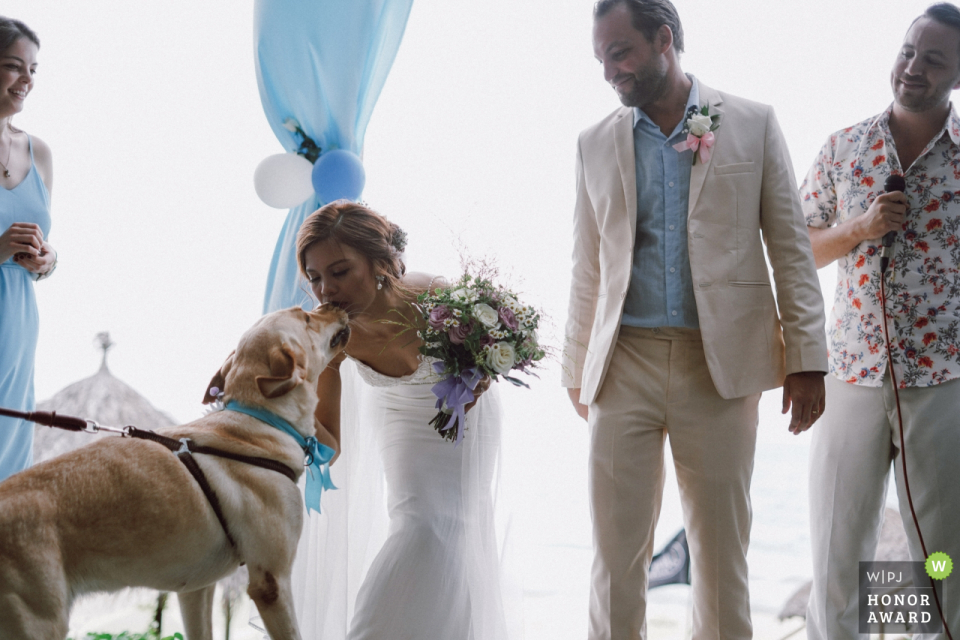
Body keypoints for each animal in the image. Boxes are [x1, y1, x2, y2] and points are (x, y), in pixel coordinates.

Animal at [0, 306, 348, 640]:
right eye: (306, 316)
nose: (335, 304)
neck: (258, 419)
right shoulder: (271, 582)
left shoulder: (197, 589)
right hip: (39, 621)